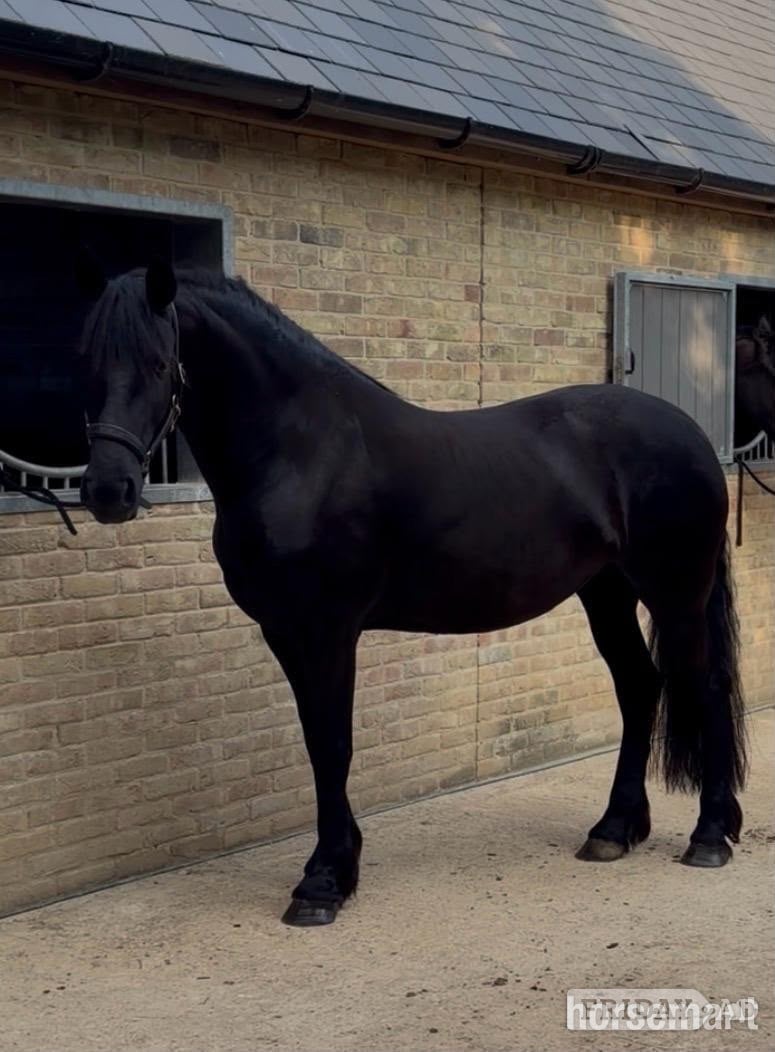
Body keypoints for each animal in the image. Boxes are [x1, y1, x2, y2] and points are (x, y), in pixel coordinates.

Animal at [75, 258, 751, 927]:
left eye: (159, 363)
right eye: (87, 362)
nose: (108, 491)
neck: (302, 451)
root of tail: (692, 435)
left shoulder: (327, 629)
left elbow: (332, 743)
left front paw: (323, 882)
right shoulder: (284, 630)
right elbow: (317, 741)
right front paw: (338, 864)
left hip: (676, 594)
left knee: (705, 688)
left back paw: (708, 837)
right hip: (606, 593)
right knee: (639, 687)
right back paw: (614, 829)